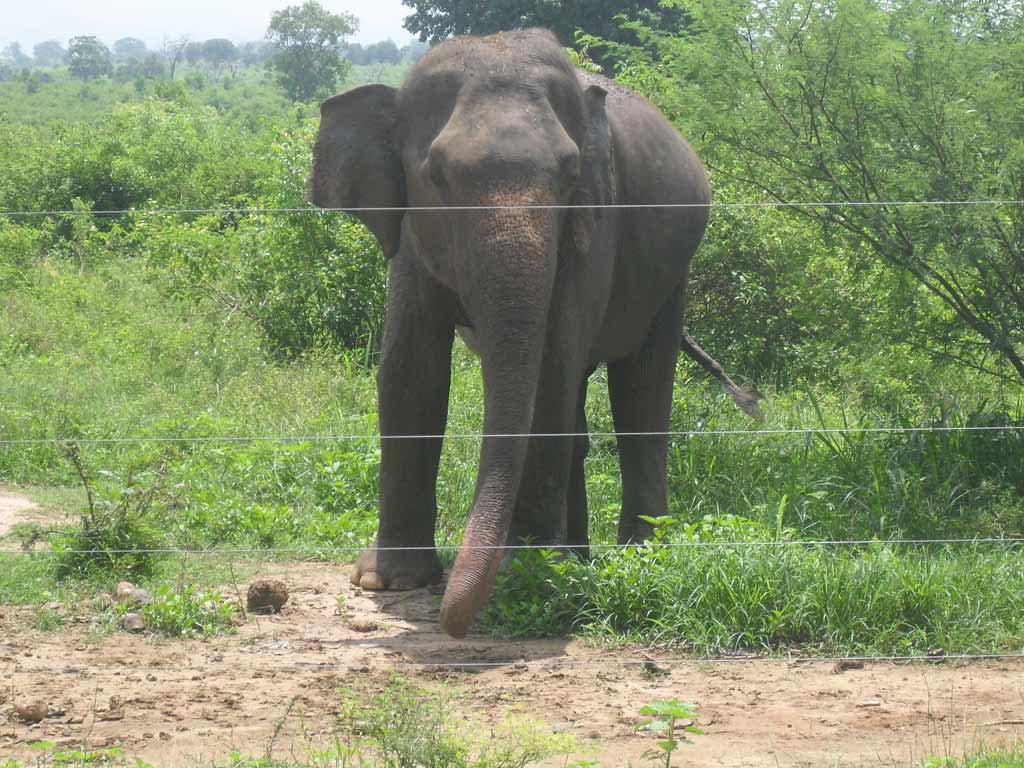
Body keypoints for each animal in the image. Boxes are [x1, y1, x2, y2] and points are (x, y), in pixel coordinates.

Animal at [307, 27, 765, 638]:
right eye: (436, 177)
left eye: (570, 175)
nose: (452, 623)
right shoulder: (410, 237)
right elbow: (410, 370)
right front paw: (388, 582)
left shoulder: (595, 222)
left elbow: (549, 365)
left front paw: (527, 575)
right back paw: (578, 556)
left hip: (672, 274)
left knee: (641, 391)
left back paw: (634, 556)